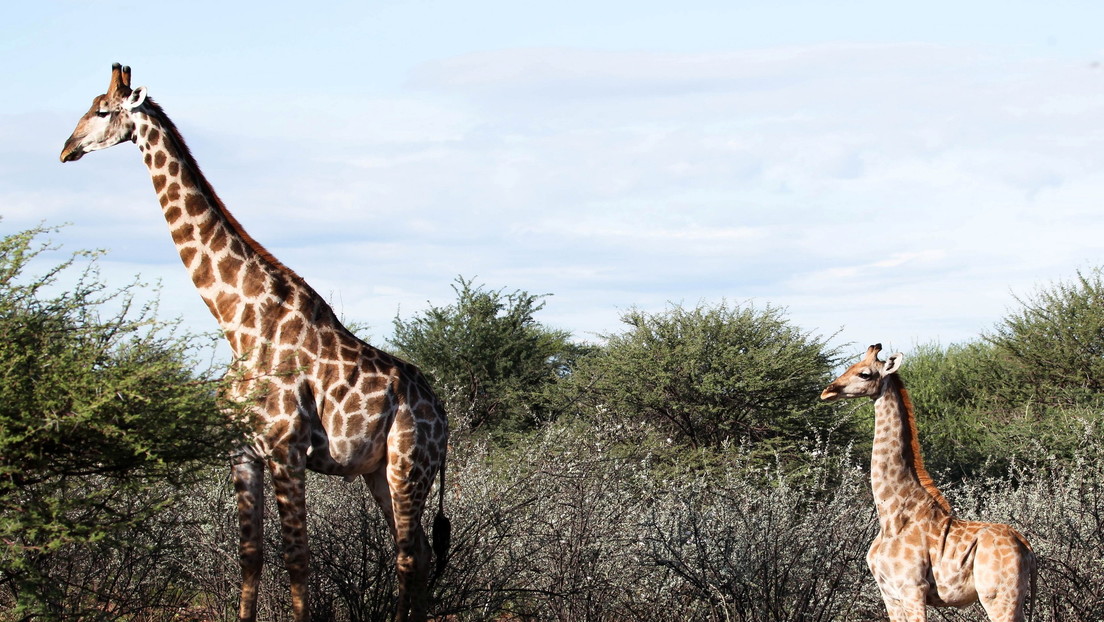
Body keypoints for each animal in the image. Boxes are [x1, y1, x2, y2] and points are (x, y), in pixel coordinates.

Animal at [59, 63, 448, 622]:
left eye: (103, 111)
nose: (66, 149)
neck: (238, 322)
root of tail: (443, 416)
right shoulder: (242, 450)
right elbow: (250, 554)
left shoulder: (287, 448)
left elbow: (297, 558)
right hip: (379, 471)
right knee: (417, 553)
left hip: (409, 463)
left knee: (408, 556)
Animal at [821, 344, 1033, 622]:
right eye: (850, 366)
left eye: (865, 374)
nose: (827, 391)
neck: (892, 517)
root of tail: (1026, 547)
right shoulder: (889, 592)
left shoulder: (912, 588)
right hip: (1012, 599)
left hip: (998, 597)